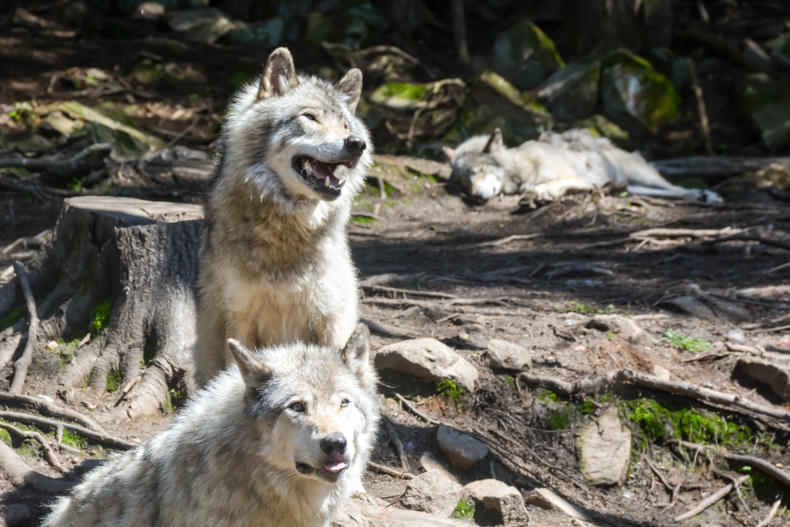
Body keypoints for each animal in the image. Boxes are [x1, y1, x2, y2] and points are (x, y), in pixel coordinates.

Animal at [195, 47, 374, 386]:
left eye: (346, 126)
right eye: (310, 117)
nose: (357, 144)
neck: (286, 229)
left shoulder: (329, 319)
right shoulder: (240, 317)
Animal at [446, 129, 724, 205]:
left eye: (479, 172)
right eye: (464, 182)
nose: (475, 196)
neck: (521, 168)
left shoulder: (586, 178)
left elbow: (554, 183)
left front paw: (543, 192)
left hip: (644, 176)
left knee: (676, 188)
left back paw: (707, 195)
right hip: (636, 186)